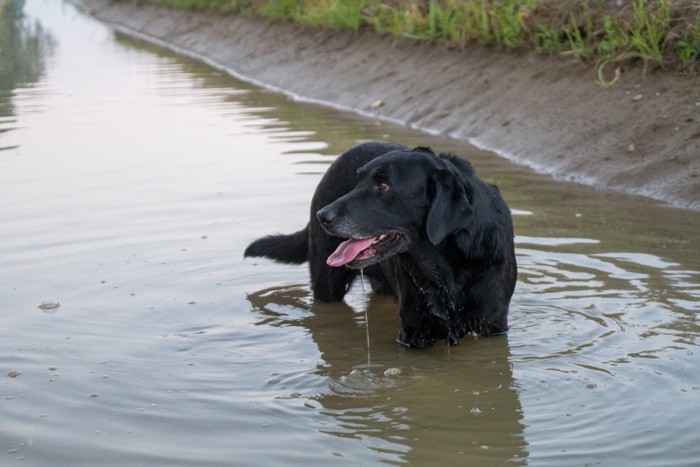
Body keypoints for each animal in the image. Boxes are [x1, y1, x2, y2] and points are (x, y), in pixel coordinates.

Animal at [245, 143, 516, 348]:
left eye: (384, 185)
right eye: (358, 181)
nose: (323, 217)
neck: (444, 268)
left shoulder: (493, 326)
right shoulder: (413, 331)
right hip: (327, 283)